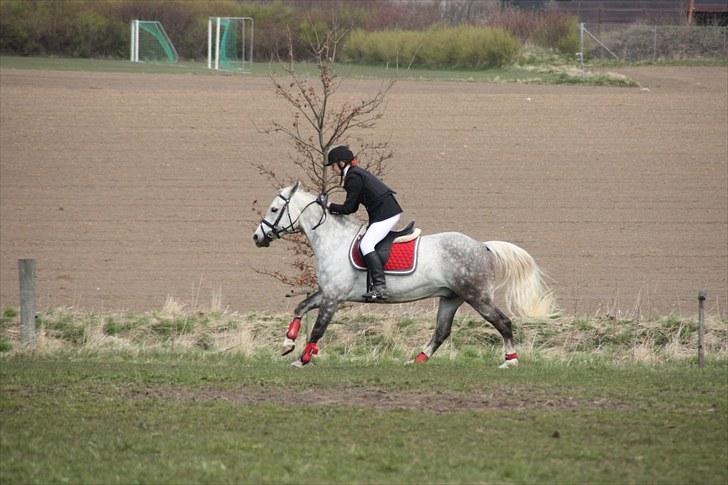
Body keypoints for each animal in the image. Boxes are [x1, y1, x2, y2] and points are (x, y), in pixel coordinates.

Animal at [253, 182, 556, 366]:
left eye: (275, 209)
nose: (257, 237)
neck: (333, 239)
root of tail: (483, 246)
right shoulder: (327, 292)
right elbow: (300, 307)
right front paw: (287, 343)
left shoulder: (333, 297)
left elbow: (318, 328)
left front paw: (302, 359)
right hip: (451, 298)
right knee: (441, 331)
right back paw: (417, 360)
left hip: (477, 297)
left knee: (503, 322)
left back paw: (510, 359)